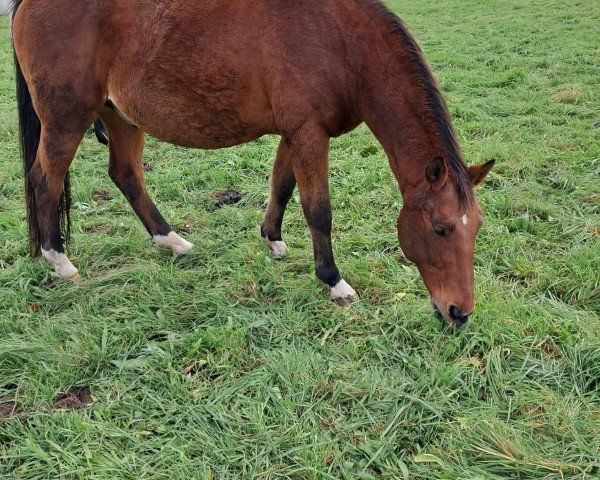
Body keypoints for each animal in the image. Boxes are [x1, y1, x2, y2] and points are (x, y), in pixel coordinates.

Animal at [11, 0, 494, 326]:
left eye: (475, 228)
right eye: (440, 229)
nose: (460, 312)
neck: (343, 40)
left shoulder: (295, 133)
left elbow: (282, 186)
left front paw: (273, 240)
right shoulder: (308, 133)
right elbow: (318, 210)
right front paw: (333, 280)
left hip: (120, 116)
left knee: (126, 176)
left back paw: (171, 241)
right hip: (67, 118)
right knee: (45, 181)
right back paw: (59, 261)